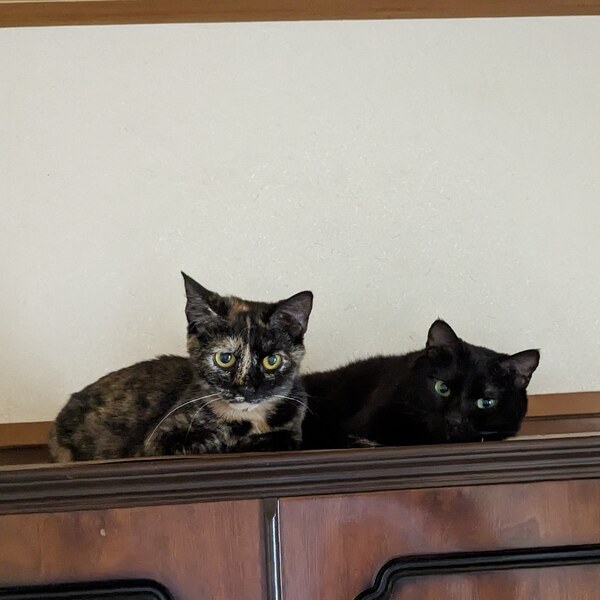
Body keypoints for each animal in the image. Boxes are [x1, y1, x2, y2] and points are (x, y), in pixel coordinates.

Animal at [49, 273, 313, 461]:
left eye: (272, 360)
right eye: (224, 358)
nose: (246, 389)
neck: (246, 421)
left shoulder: (293, 429)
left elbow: (283, 439)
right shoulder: (155, 439)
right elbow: (206, 441)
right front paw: (221, 442)